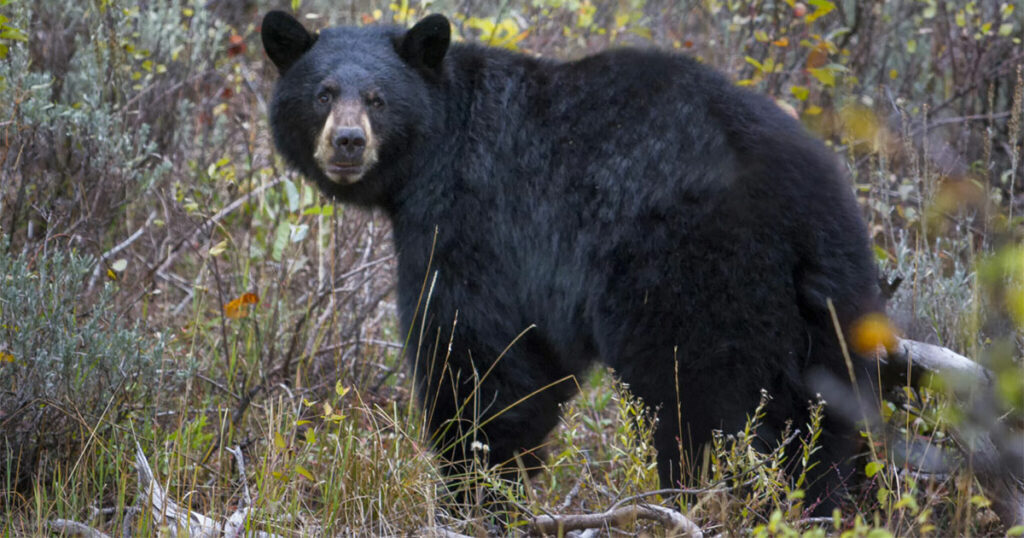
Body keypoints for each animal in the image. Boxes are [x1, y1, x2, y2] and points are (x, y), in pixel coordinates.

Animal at [261, 10, 883, 513]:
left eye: (377, 98)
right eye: (323, 92)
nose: (347, 141)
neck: (438, 146)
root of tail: (805, 206)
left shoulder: (477, 222)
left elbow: (479, 356)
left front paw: (475, 492)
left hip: (700, 282)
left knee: (711, 405)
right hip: (830, 304)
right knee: (820, 417)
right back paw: (810, 504)